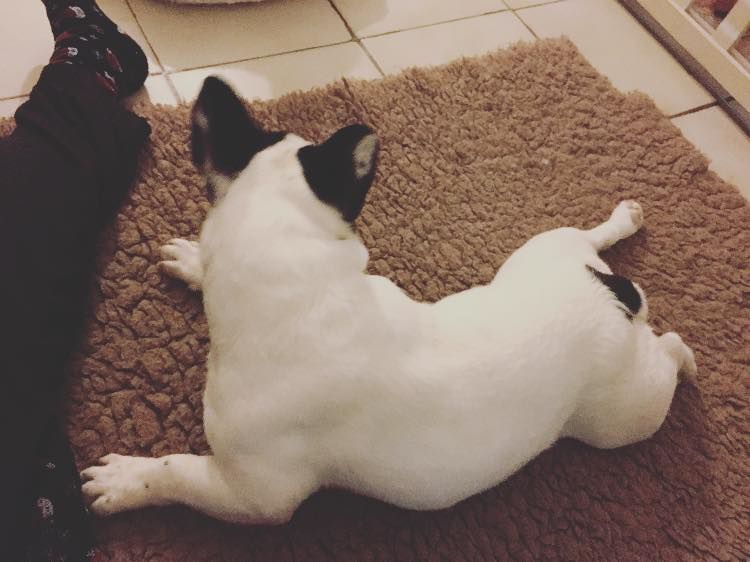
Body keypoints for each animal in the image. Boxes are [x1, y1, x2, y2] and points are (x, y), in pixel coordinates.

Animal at [81, 76, 697, 524]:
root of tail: (615, 296)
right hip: (540, 254)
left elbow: (175, 470)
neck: (297, 277)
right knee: (587, 240)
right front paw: (194, 263)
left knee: (666, 352)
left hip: (623, 416)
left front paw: (124, 480)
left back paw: (684, 356)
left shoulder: (252, 492)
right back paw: (622, 220)